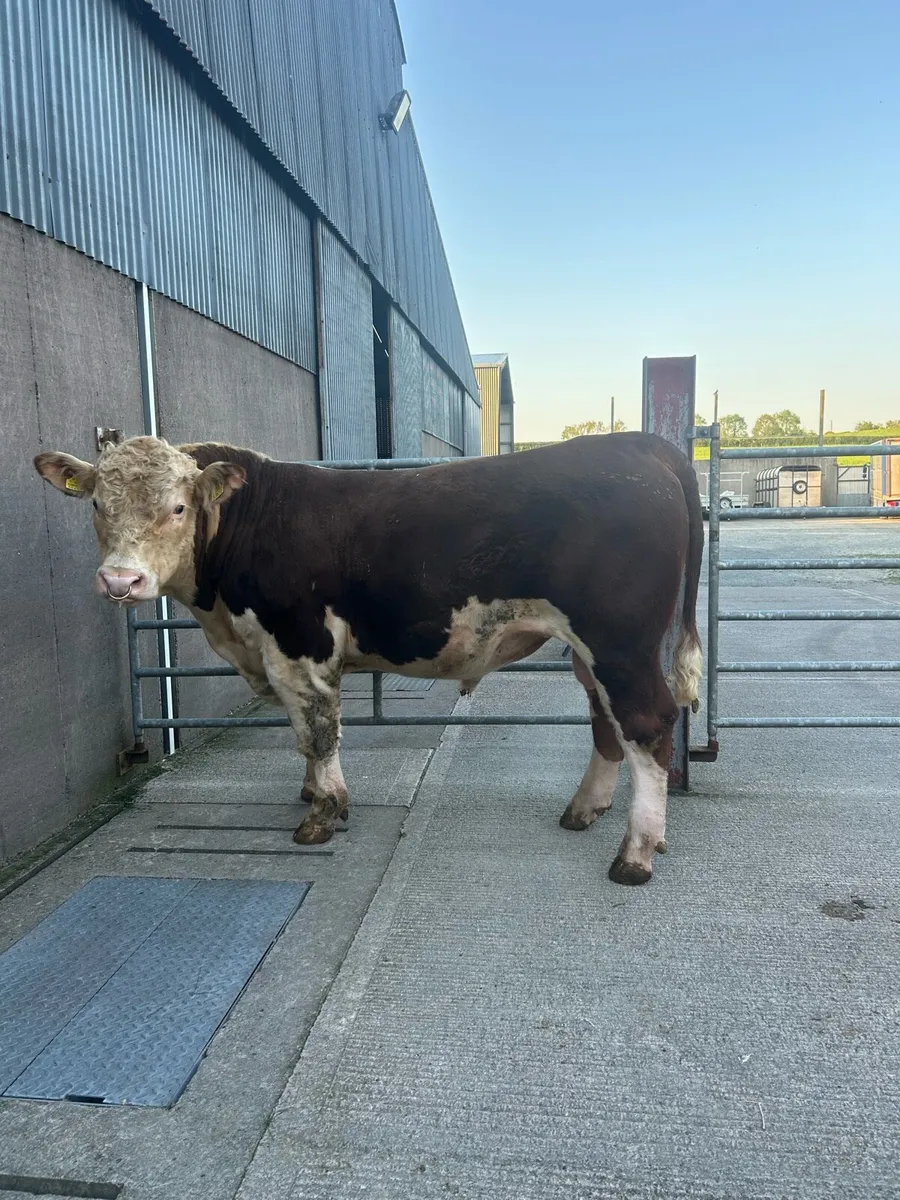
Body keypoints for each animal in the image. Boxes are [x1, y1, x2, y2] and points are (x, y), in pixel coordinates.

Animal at [34, 432, 703, 885]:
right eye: (97, 505)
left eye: (177, 507)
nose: (120, 581)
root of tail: (638, 445)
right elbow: (305, 732)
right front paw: (312, 792)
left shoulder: (299, 645)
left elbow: (318, 730)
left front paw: (323, 813)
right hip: (595, 652)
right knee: (606, 722)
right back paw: (584, 810)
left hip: (619, 642)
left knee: (647, 723)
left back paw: (635, 854)